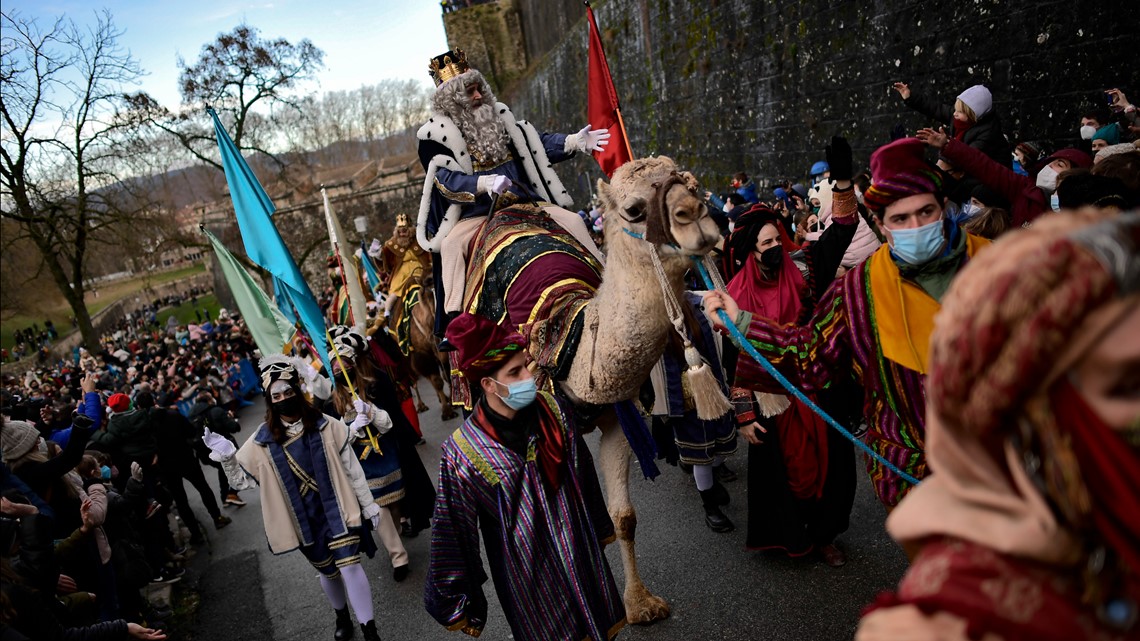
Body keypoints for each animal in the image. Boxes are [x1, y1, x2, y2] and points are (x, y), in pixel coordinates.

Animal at [458, 157, 715, 620]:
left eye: (694, 185)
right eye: (633, 209)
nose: (698, 219)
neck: (571, 335)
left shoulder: (618, 415)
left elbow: (623, 516)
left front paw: (640, 604)